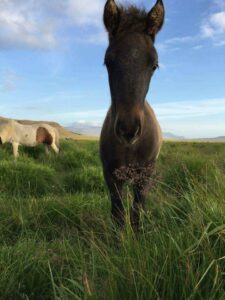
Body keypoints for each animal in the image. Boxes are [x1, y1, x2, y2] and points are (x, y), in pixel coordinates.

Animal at [100, 0, 165, 229]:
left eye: (154, 65)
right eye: (108, 61)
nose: (128, 129)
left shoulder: (145, 176)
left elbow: (137, 212)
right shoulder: (111, 176)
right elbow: (118, 214)